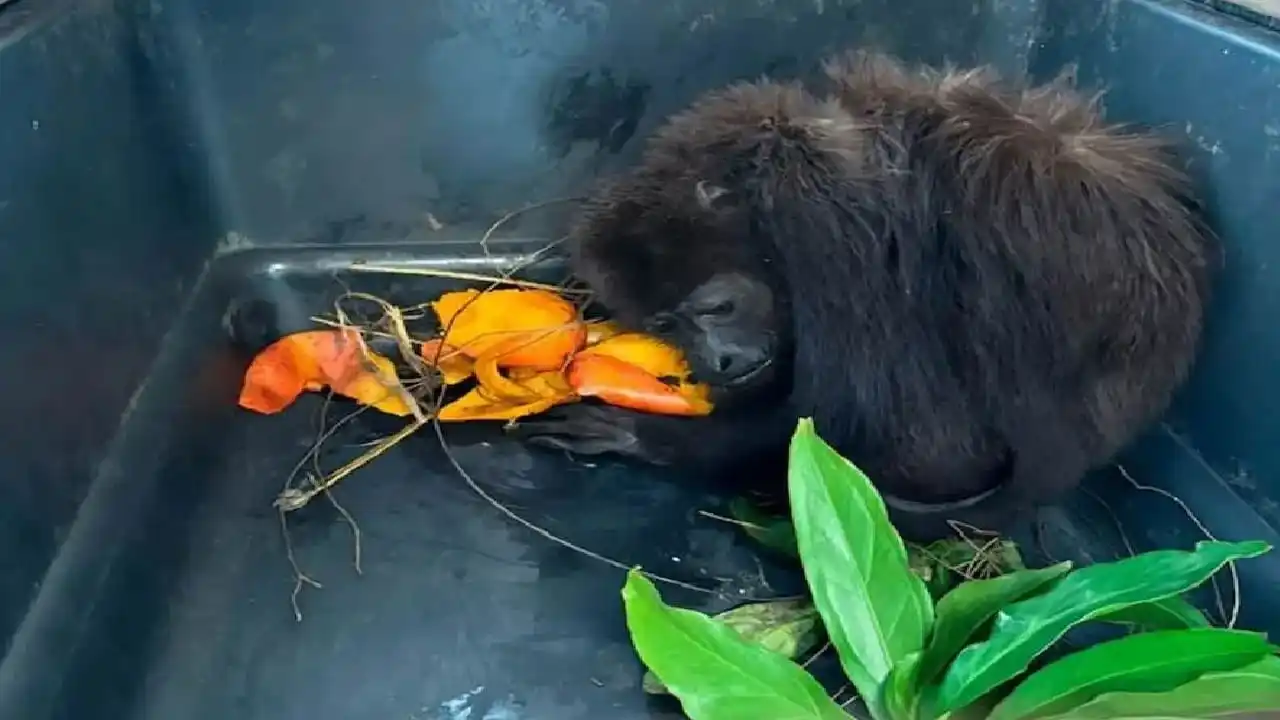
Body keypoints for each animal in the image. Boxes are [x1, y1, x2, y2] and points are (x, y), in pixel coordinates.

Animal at [509, 50, 1218, 542]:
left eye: (716, 307)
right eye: (665, 323)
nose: (720, 361)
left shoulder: (821, 224)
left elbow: (838, 413)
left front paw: (644, 436)